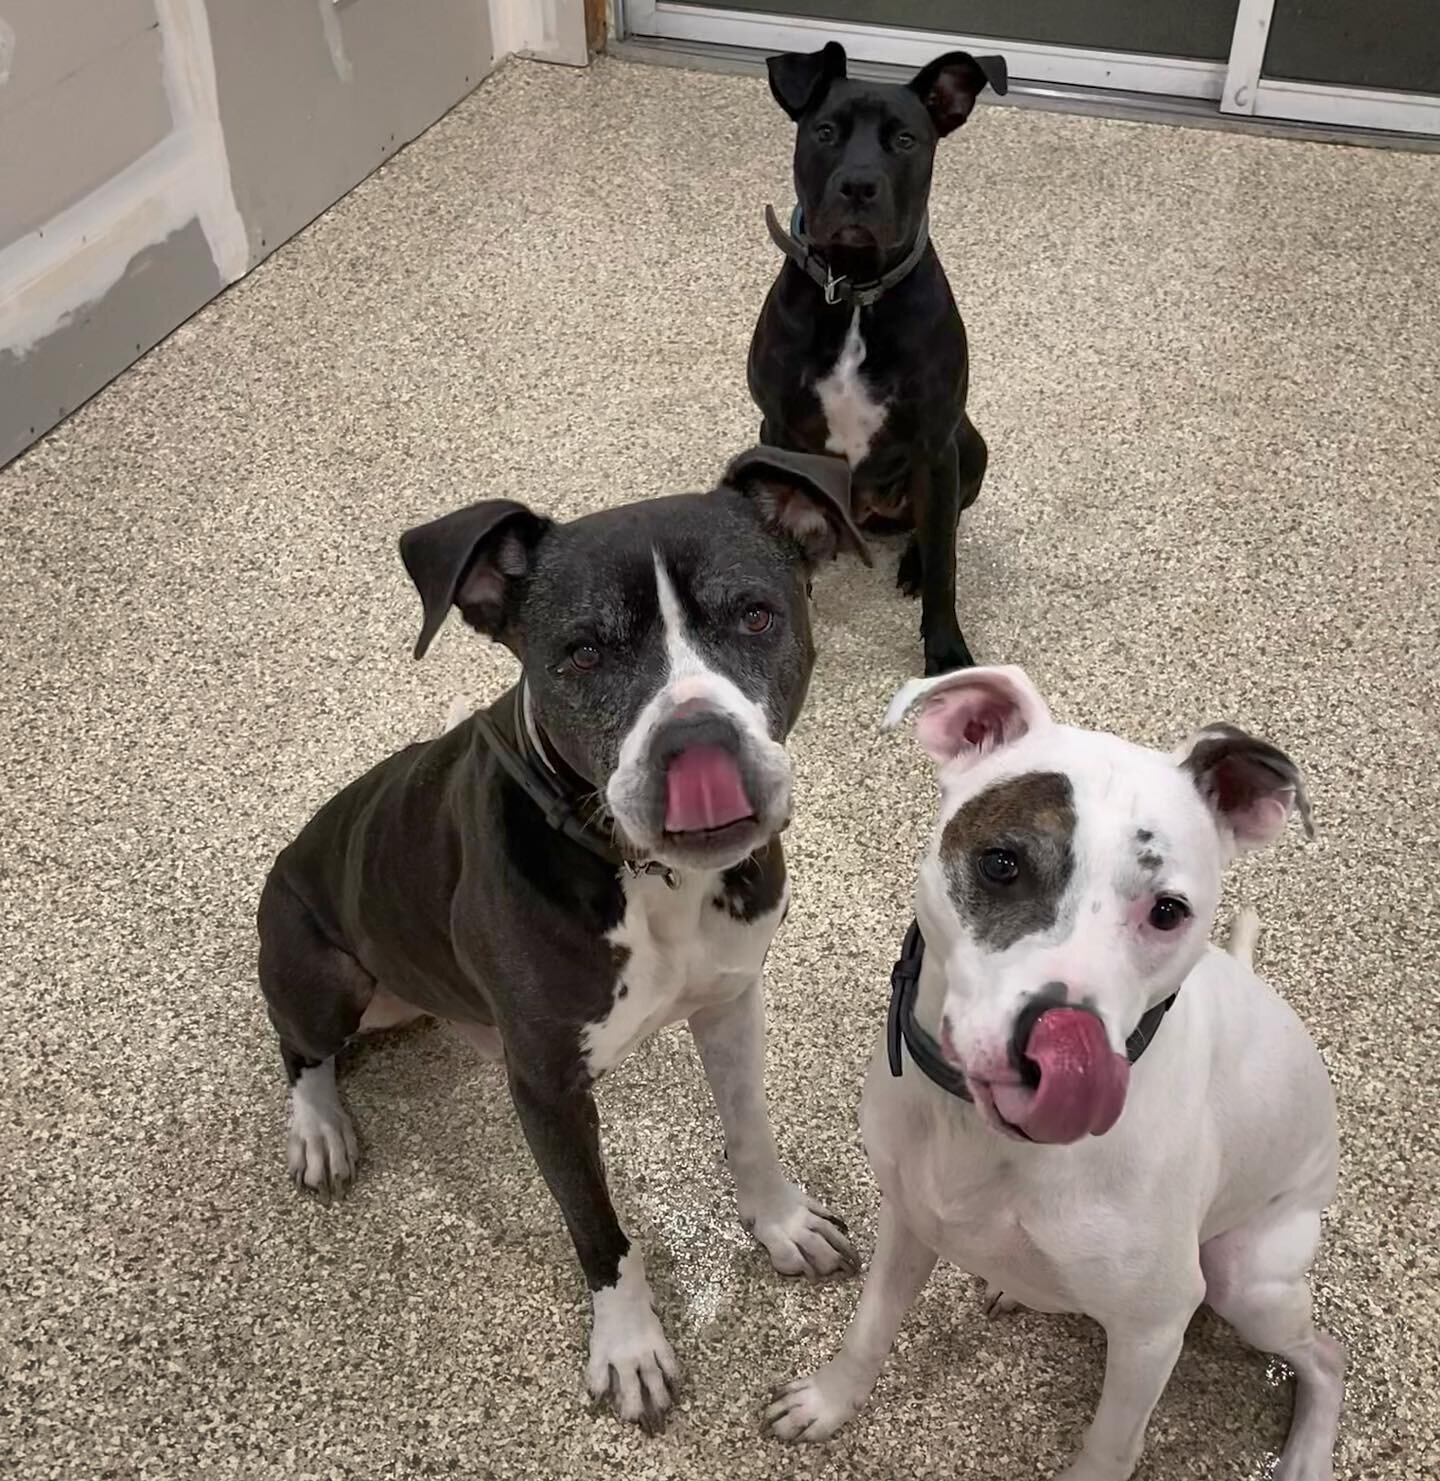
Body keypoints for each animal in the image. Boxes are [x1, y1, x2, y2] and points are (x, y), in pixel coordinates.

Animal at [256, 444, 865, 1427]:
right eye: (581, 652)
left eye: (756, 614)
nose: (698, 741)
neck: (649, 879)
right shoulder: (546, 1087)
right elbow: (597, 1226)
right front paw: (630, 1346)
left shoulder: (732, 997)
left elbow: (750, 1128)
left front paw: (781, 1222)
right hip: (322, 969)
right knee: (298, 1044)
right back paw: (318, 1126)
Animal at [746, 42, 1007, 678]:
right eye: (825, 131)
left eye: (906, 140)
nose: (859, 186)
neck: (854, 290)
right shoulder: (780, 427)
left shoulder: (936, 447)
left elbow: (945, 567)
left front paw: (946, 655)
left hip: (969, 448)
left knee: (937, 530)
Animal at [770, 672, 1345, 1481]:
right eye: (1001, 863)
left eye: (1169, 910)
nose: (1055, 1051)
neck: (981, 1136)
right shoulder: (906, 1221)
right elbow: (868, 1328)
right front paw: (828, 1401)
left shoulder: (1152, 1330)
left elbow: (1109, 1446)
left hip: (1247, 1276)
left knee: (1327, 1356)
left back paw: (1306, 1452)